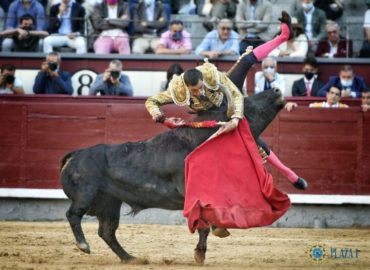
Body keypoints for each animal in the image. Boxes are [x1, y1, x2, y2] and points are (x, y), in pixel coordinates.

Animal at [60, 88, 284, 264]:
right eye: (249, 105)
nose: (276, 90)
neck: (200, 140)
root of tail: (75, 154)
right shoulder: (195, 197)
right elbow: (203, 225)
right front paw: (200, 253)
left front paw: (213, 237)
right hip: (87, 194)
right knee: (73, 215)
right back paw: (84, 245)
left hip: (110, 203)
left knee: (107, 231)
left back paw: (130, 258)